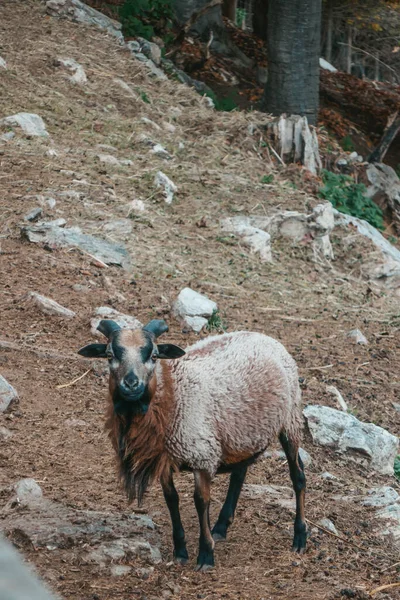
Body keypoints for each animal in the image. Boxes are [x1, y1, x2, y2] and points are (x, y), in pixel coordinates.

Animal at [79, 316, 308, 568]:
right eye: (110, 354)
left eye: (154, 355)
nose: (131, 384)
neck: (172, 395)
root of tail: (264, 336)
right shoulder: (165, 459)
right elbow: (172, 499)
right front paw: (180, 551)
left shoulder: (202, 456)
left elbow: (201, 501)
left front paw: (206, 554)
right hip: (242, 432)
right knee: (239, 473)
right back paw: (221, 526)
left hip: (290, 419)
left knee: (298, 477)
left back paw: (300, 537)